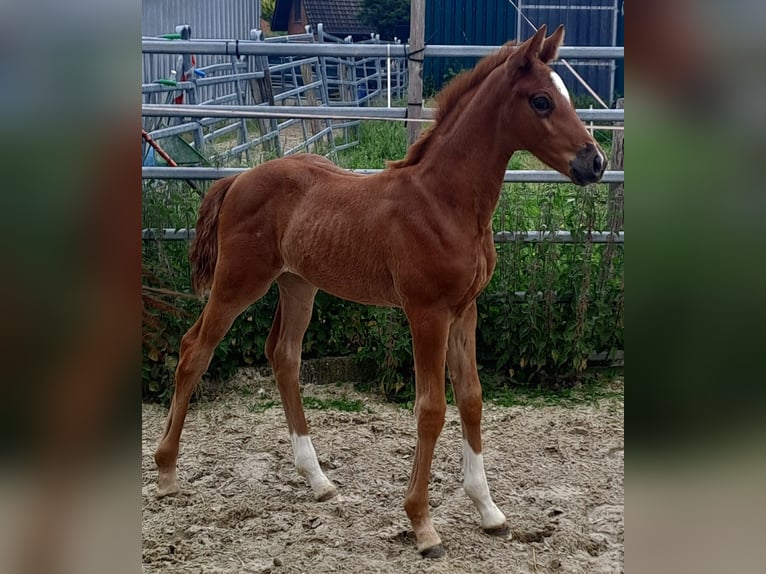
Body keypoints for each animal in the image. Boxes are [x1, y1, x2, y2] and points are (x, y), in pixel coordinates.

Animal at [156, 24, 608, 560]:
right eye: (541, 101)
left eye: (566, 96)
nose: (596, 162)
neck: (445, 203)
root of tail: (237, 179)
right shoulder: (427, 313)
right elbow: (431, 408)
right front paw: (423, 525)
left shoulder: (465, 310)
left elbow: (472, 399)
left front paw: (489, 511)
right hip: (237, 283)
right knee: (193, 351)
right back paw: (166, 472)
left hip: (298, 285)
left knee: (283, 356)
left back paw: (318, 480)